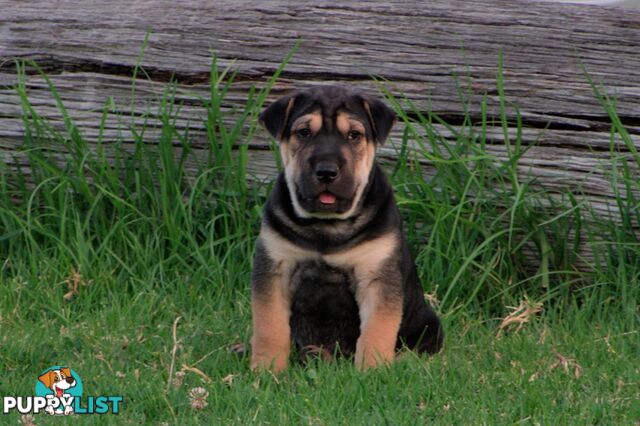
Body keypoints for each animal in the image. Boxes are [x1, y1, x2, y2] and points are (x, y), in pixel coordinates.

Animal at [252, 85, 442, 372]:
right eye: (304, 132)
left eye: (354, 135)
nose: (326, 171)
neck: (326, 226)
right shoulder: (274, 268)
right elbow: (269, 325)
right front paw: (266, 368)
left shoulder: (377, 276)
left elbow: (377, 329)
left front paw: (373, 371)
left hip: (430, 325)